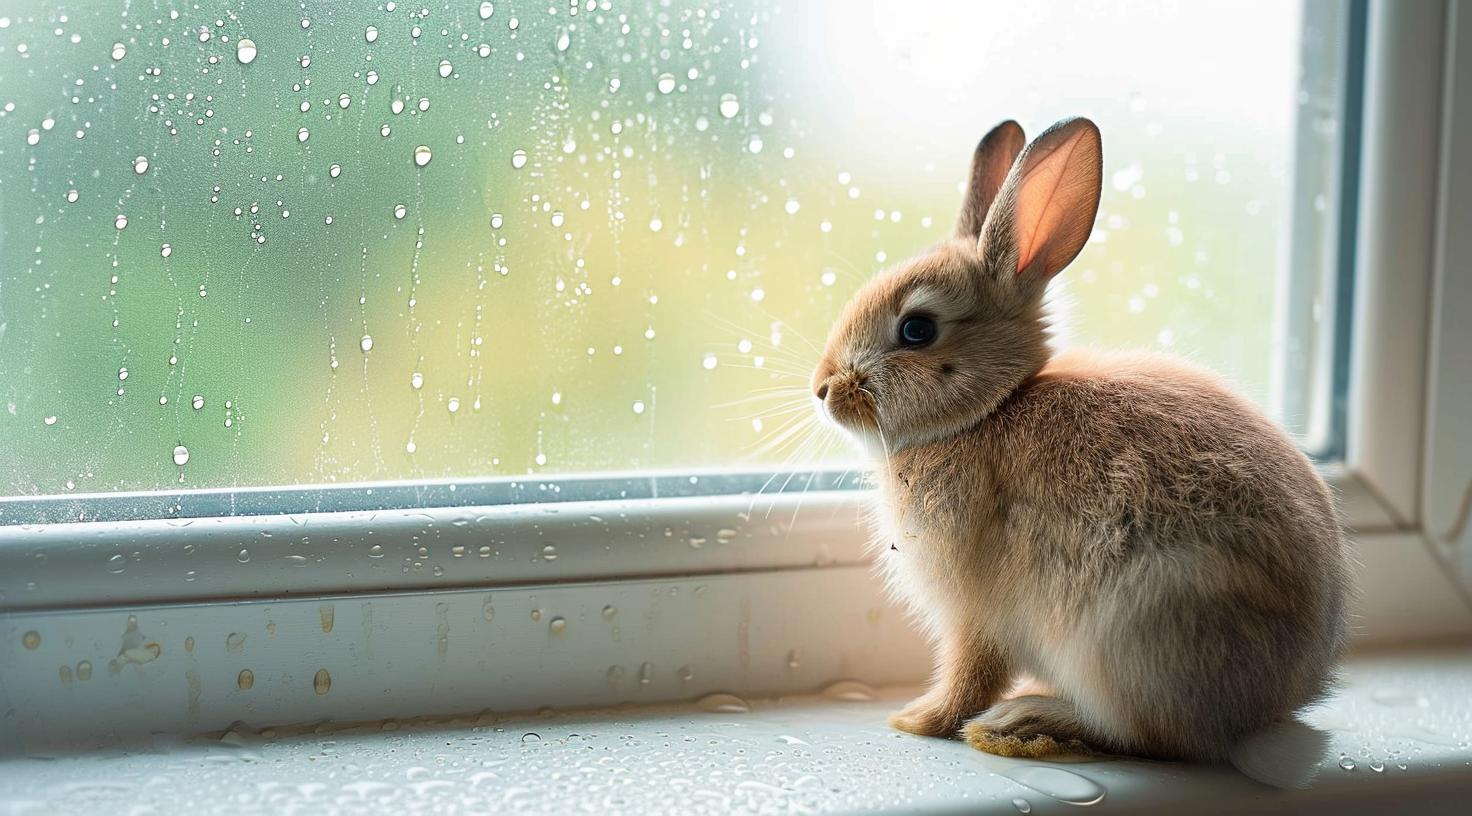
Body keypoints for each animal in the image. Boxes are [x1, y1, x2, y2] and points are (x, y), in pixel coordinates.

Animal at [811, 117, 1350, 763]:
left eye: (917, 329)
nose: (823, 389)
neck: (990, 409)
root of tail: (1272, 705)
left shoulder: (975, 614)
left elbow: (970, 675)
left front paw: (917, 720)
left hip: (1128, 630)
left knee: (1151, 736)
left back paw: (1023, 721)